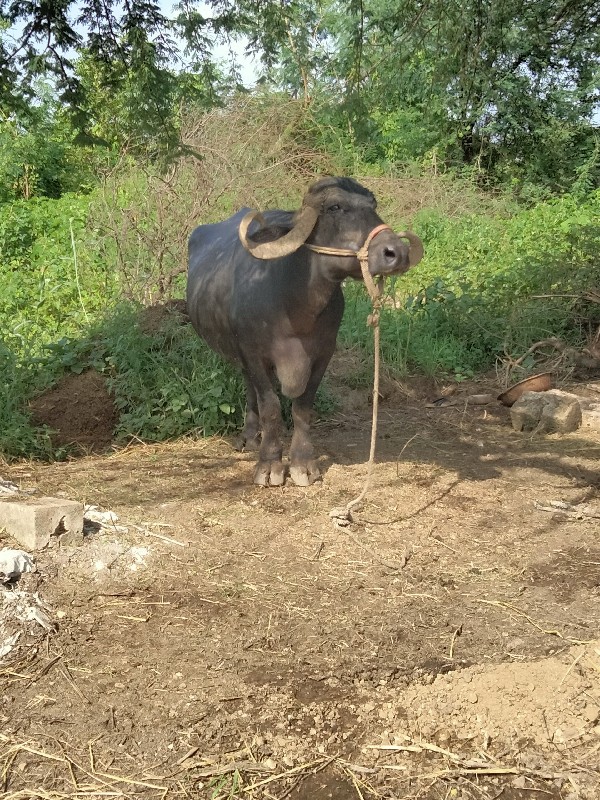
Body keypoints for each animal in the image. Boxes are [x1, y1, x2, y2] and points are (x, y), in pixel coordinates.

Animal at [186, 177, 422, 484]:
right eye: (334, 207)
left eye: (373, 206)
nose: (397, 252)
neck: (294, 307)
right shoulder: (254, 353)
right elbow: (272, 407)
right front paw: (270, 465)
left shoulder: (323, 353)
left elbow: (302, 407)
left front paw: (302, 463)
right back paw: (249, 438)